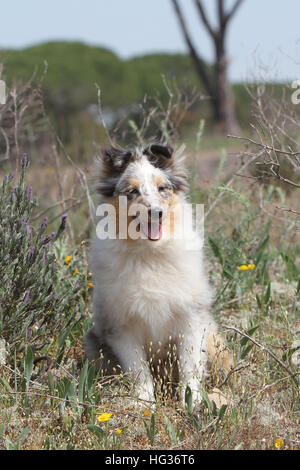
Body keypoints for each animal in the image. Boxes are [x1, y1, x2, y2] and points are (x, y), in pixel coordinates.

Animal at [84, 142, 232, 404]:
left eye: (162, 188)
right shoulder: (121, 326)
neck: (149, 254)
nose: (156, 212)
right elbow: (138, 368)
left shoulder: (191, 318)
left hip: (214, 339)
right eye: (131, 191)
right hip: (94, 346)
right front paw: (144, 402)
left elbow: (190, 365)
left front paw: (191, 400)